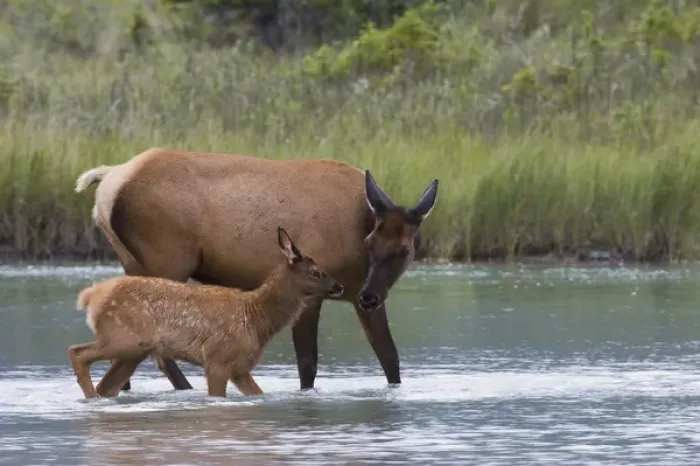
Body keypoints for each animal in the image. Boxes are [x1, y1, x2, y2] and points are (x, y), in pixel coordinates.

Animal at [69, 227, 344, 399]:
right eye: (316, 272)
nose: (339, 286)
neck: (257, 319)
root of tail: (92, 296)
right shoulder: (217, 358)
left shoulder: (240, 367)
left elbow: (258, 393)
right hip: (122, 337)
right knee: (77, 352)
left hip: (133, 351)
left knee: (107, 385)